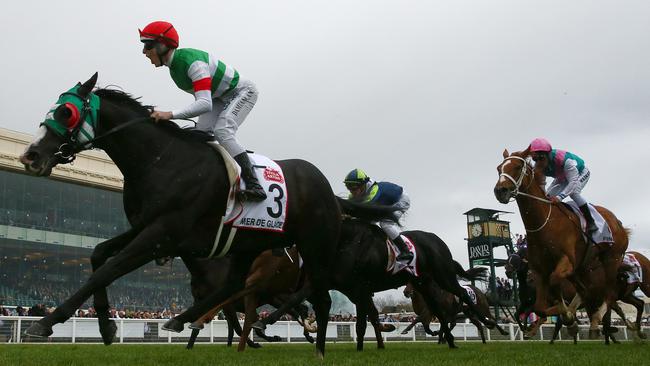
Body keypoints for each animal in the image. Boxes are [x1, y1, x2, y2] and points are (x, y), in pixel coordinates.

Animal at [17, 73, 346, 358]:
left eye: (66, 113)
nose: (30, 156)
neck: (161, 161)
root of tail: (327, 188)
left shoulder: (163, 234)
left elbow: (109, 269)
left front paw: (46, 322)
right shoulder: (145, 226)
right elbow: (99, 254)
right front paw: (106, 325)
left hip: (314, 244)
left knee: (319, 294)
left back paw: (315, 347)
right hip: (249, 244)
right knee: (234, 284)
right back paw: (184, 319)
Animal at [253, 216, 496, 350]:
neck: (345, 242)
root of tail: (437, 240)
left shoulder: (359, 288)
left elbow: (363, 321)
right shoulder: (339, 285)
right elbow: (294, 299)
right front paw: (263, 322)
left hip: (443, 275)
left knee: (462, 294)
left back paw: (489, 322)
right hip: (423, 283)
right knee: (437, 310)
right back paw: (451, 340)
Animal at [494, 148, 624, 344]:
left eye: (517, 166)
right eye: (499, 169)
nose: (500, 191)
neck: (545, 224)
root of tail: (618, 222)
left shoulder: (566, 262)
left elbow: (555, 282)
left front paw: (568, 317)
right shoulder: (540, 271)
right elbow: (540, 308)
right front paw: (568, 320)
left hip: (611, 260)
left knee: (609, 294)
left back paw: (600, 324)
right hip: (583, 268)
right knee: (587, 292)